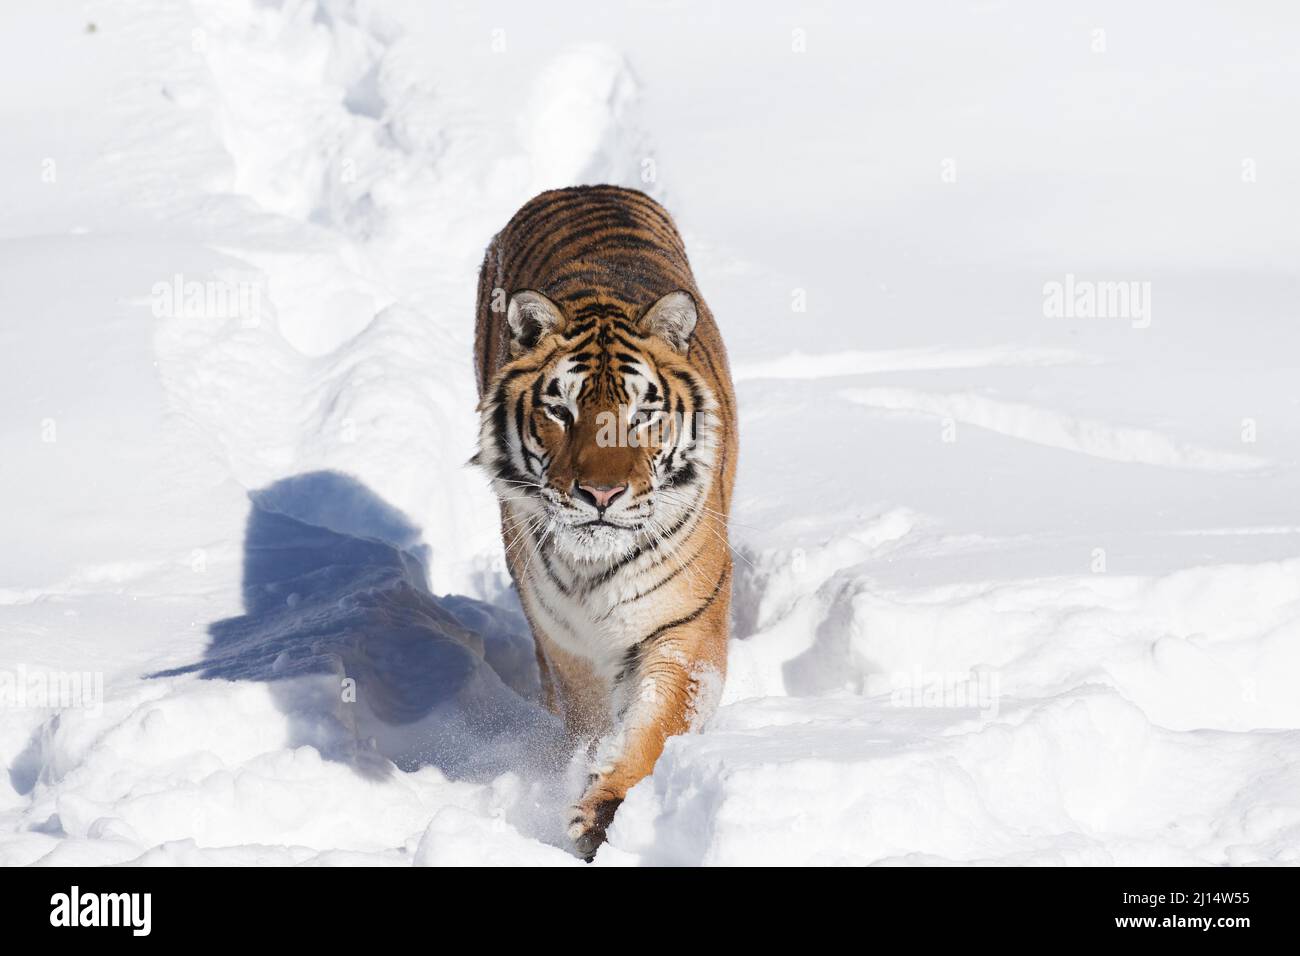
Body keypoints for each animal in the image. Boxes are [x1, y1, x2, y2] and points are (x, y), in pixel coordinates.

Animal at [473, 183, 738, 858]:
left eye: (641, 414)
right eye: (561, 411)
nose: (600, 493)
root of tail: (583, 186)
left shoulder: (684, 625)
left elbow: (657, 726)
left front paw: (606, 811)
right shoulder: (568, 645)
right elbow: (589, 721)